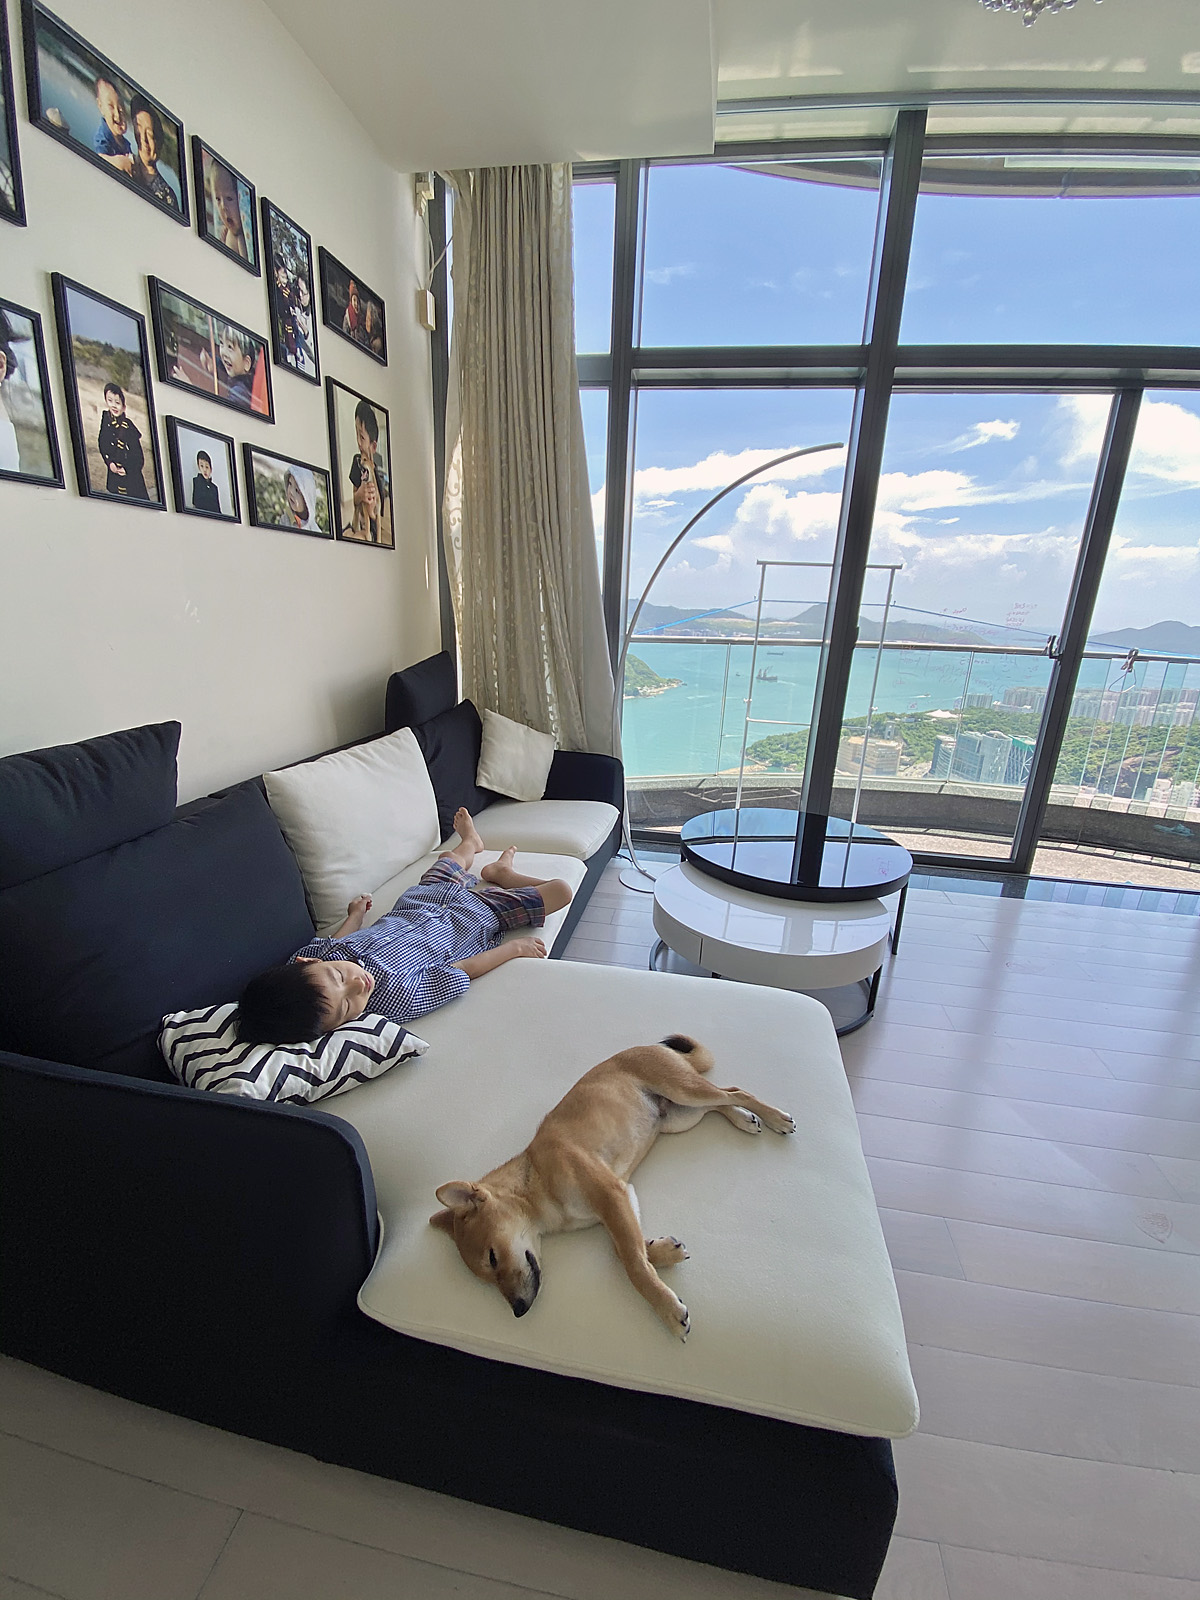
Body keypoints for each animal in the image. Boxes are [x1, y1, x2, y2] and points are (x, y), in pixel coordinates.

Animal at [430, 1034, 795, 1340]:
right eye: (488, 1278)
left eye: (492, 1258)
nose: (518, 1311)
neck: (536, 1181)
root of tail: (652, 1045)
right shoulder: (621, 1198)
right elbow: (628, 1248)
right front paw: (664, 1250)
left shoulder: (611, 1195)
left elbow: (631, 1262)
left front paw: (666, 1307)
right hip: (681, 1117)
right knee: (723, 1100)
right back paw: (743, 1117)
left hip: (683, 1091)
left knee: (735, 1090)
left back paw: (774, 1116)